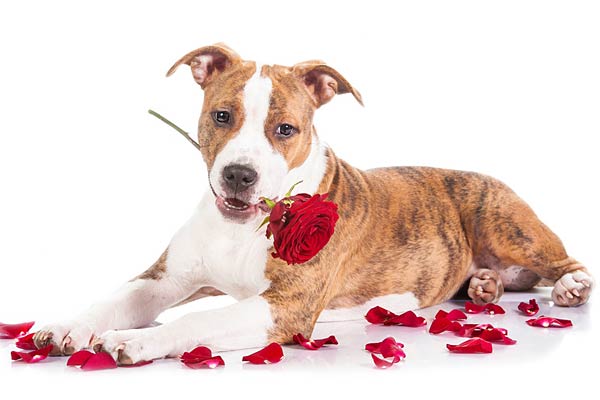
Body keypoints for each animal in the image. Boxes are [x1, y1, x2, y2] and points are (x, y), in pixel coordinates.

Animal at [34, 44, 596, 366]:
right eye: (222, 115)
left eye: (285, 129)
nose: (239, 174)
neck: (244, 225)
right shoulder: (166, 278)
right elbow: (112, 299)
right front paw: (64, 326)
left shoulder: (286, 305)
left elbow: (197, 322)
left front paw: (139, 342)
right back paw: (483, 285)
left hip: (502, 221)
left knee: (561, 261)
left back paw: (568, 287)